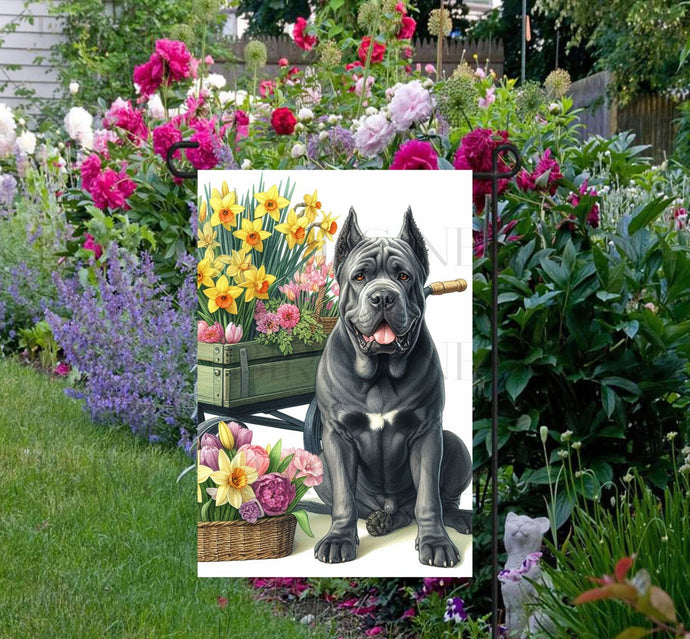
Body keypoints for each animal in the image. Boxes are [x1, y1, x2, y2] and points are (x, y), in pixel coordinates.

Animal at [314, 208, 470, 568]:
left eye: (403, 276)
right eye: (359, 277)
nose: (383, 296)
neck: (381, 372)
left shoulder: (428, 432)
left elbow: (428, 498)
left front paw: (436, 543)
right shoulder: (336, 435)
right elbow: (344, 499)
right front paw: (339, 540)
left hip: (455, 444)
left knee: (439, 503)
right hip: (321, 460)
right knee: (371, 507)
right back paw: (379, 520)